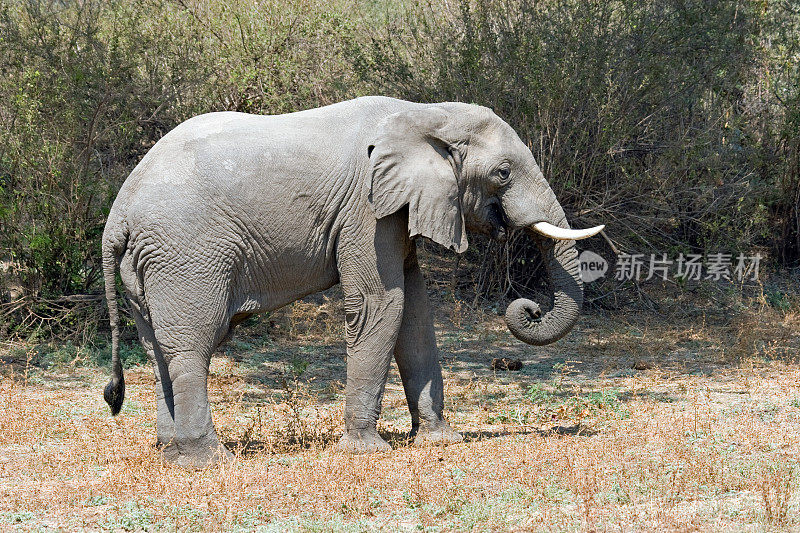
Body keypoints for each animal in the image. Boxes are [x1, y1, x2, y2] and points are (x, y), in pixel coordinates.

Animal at [101, 95, 600, 466]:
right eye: (503, 172)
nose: (528, 307)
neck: (426, 114)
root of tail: (117, 216)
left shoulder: (397, 209)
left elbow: (415, 314)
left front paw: (441, 441)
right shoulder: (367, 209)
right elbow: (383, 304)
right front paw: (367, 450)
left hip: (147, 265)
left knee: (156, 348)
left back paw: (170, 453)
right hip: (185, 254)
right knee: (191, 345)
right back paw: (208, 460)